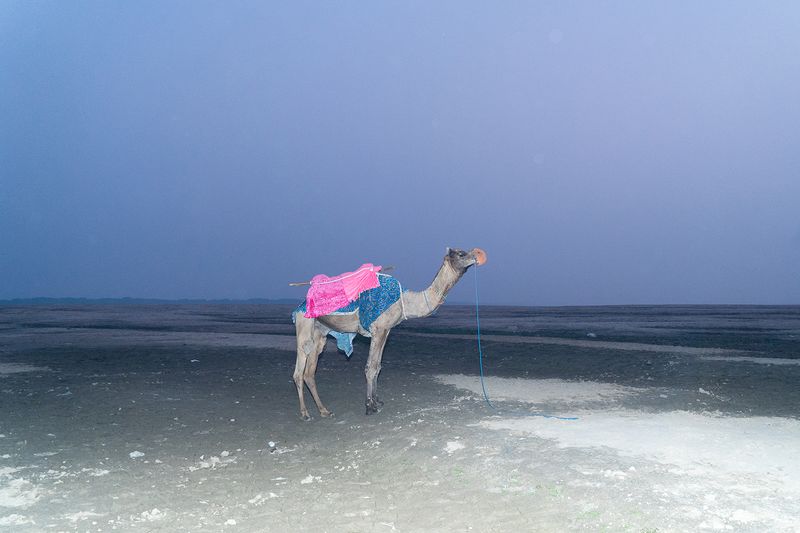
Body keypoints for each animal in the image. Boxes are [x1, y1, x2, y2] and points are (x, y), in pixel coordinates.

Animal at [292, 247, 487, 420]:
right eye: (461, 254)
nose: (477, 255)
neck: (404, 301)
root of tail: (301, 304)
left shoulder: (386, 331)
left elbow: (378, 366)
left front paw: (377, 401)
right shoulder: (378, 329)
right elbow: (370, 367)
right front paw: (370, 406)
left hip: (320, 331)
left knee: (310, 371)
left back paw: (324, 411)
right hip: (304, 323)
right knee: (299, 369)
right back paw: (305, 414)